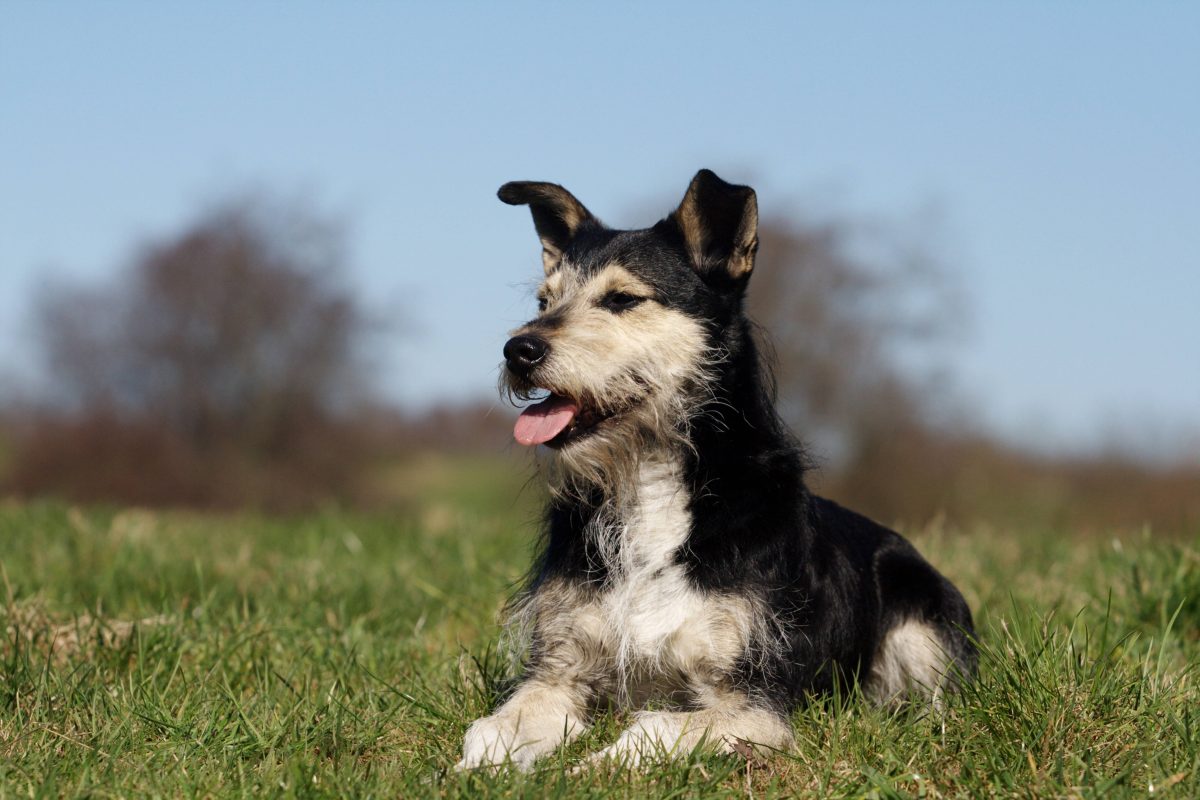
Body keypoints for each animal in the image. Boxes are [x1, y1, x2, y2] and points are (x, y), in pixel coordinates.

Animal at [456, 167, 974, 767]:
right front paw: (473, 770)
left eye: (622, 299)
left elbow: (648, 730)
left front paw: (590, 770)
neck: (648, 479)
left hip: (922, 622)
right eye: (544, 300)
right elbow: (490, 729)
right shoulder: (557, 675)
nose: (519, 349)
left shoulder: (754, 705)